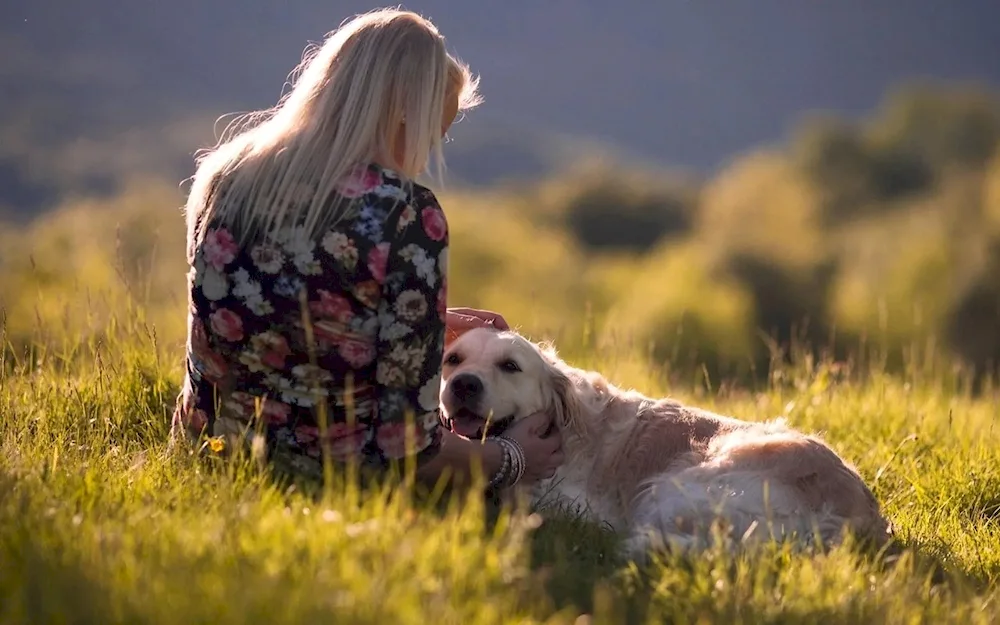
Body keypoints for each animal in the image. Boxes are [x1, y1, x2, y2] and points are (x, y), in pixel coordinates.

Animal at [442, 326, 896, 556]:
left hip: (676, 488)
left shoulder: (573, 502)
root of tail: (861, 517)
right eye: (452, 360)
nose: (463, 384)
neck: (564, 424)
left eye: (510, 366)